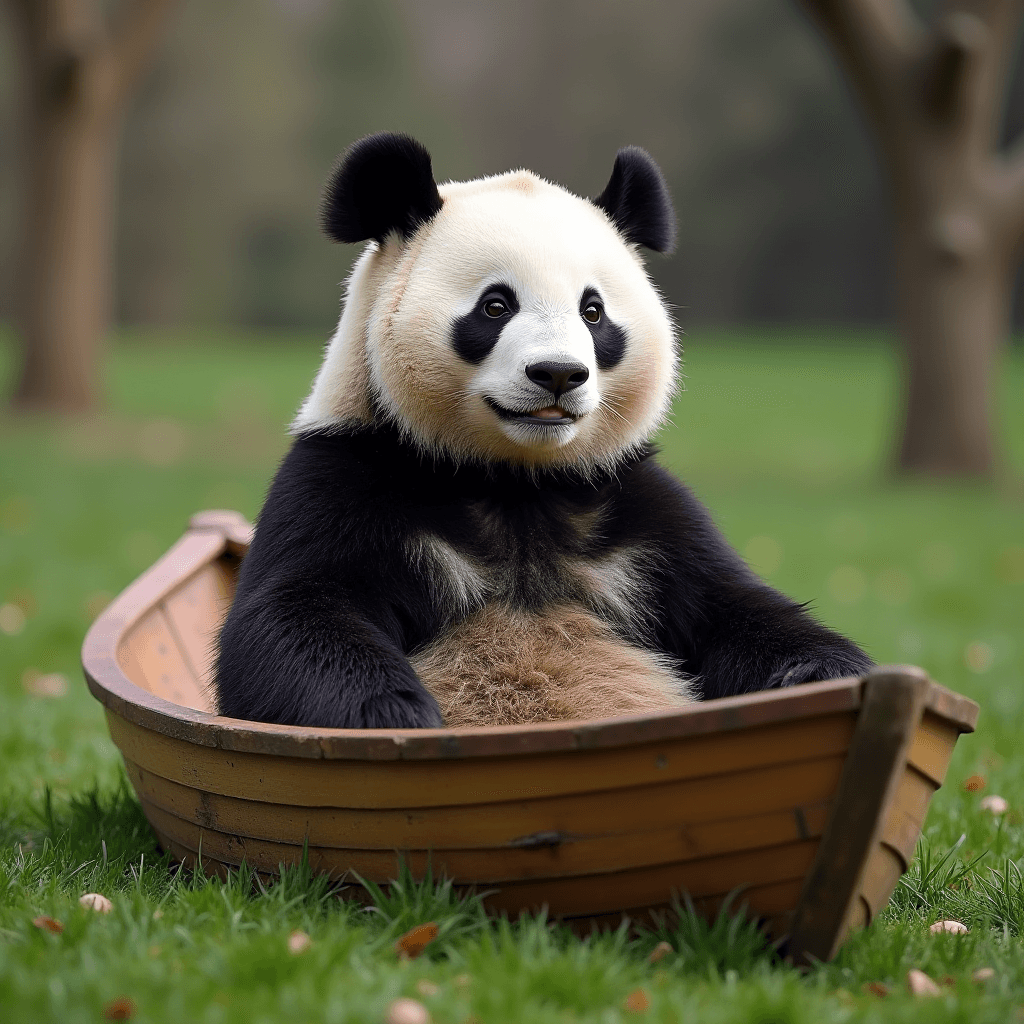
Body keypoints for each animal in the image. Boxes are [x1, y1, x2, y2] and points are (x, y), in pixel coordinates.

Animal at [218, 132, 872, 733]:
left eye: (593, 311)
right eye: (495, 305)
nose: (558, 373)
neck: (517, 481)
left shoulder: (642, 519)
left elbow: (737, 610)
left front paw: (827, 673)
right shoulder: (348, 476)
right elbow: (290, 618)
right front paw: (397, 716)